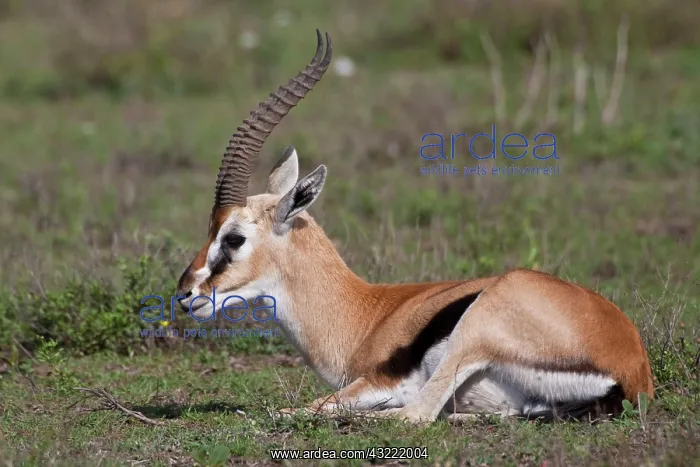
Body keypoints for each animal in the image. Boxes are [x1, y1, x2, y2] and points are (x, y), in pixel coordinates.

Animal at [174, 30, 654, 424]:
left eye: (234, 238)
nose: (184, 294)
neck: (364, 316)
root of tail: (630, 367)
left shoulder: (377, 381)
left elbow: (304, 407)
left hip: (475, 332)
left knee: (414, 415)